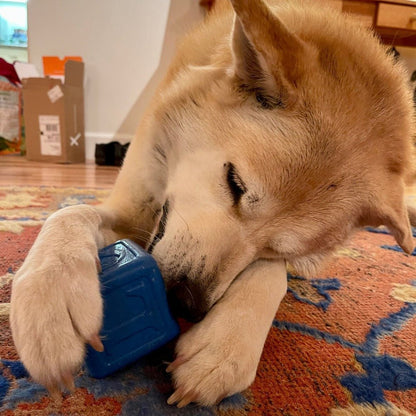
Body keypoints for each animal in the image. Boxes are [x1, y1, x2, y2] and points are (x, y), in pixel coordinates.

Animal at [9, 0, 416, 408]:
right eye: (234, 183)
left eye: (275, 247)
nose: (184, 304)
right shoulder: (130, 210)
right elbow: (69, 212)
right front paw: (51, 291)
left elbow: (273, 274)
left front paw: (225, 344)